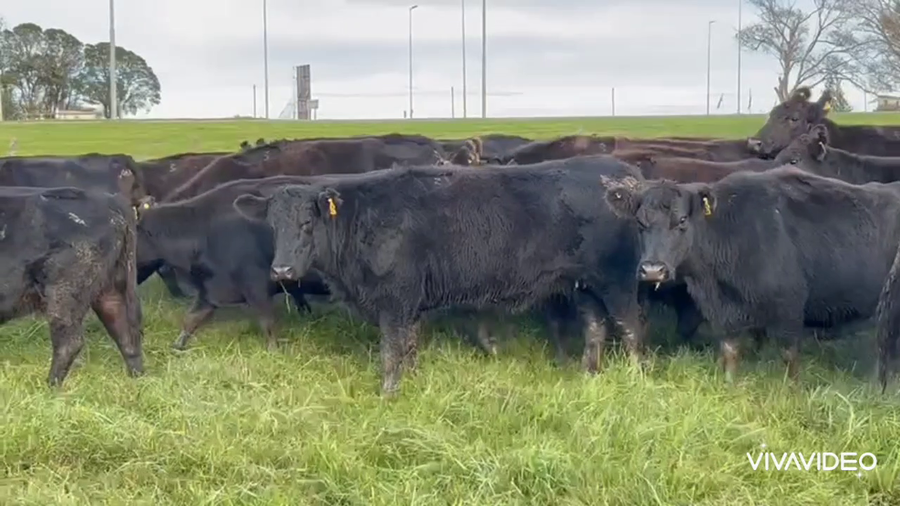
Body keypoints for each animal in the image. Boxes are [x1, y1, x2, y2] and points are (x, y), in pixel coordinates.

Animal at [0, 186, 143, 386]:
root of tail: (110, 201)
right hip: (110, 287)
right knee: (125, 332)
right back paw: (138, 379)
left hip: (64, 292)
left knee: (70, 342)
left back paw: (50, 386)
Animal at [135, 175, 341, 351]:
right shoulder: (211, 289)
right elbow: (191, 320)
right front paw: (176, 347)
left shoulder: (256, 286)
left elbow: (268, 325)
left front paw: (274, 352)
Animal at [234, 157, 648, 395]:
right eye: (273, 225)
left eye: (307, 222)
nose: (282, 270)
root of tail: (624, 176)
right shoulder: (411, 303)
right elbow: (410, 347)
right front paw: (413, 383)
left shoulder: (396, 300)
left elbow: (391, 350)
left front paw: (388, 394)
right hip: (584, 285)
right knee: (595, 327)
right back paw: (589, 374)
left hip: (617, 281)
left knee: (630, 327)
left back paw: (634, 377)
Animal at [604, 166, 900, 382]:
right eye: (640, 222)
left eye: (682, 221)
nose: (653, 270)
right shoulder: (725, 315)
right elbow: (730, 353)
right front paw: (729, 385)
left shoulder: (789, 309)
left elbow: (789, 358)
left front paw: (791, 392)